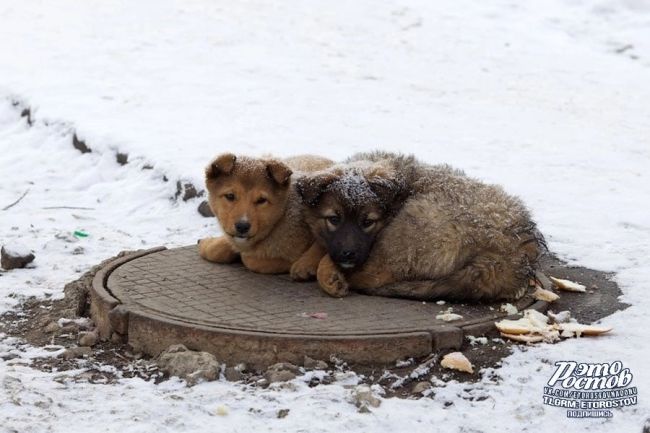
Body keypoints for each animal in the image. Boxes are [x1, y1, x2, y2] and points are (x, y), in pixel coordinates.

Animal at [196, 154, 330, 278]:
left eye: (261, 200)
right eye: (230, 196)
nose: (242, 227)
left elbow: (250, 260)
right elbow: (217, 250)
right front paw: (205, 243)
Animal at [298, 151, 540, 300]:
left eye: (368, 222)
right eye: (334, 219)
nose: (348, 254)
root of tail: (513, 253)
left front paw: (326, 271)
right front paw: (307, 260)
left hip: (411, 222)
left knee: (375, 274)